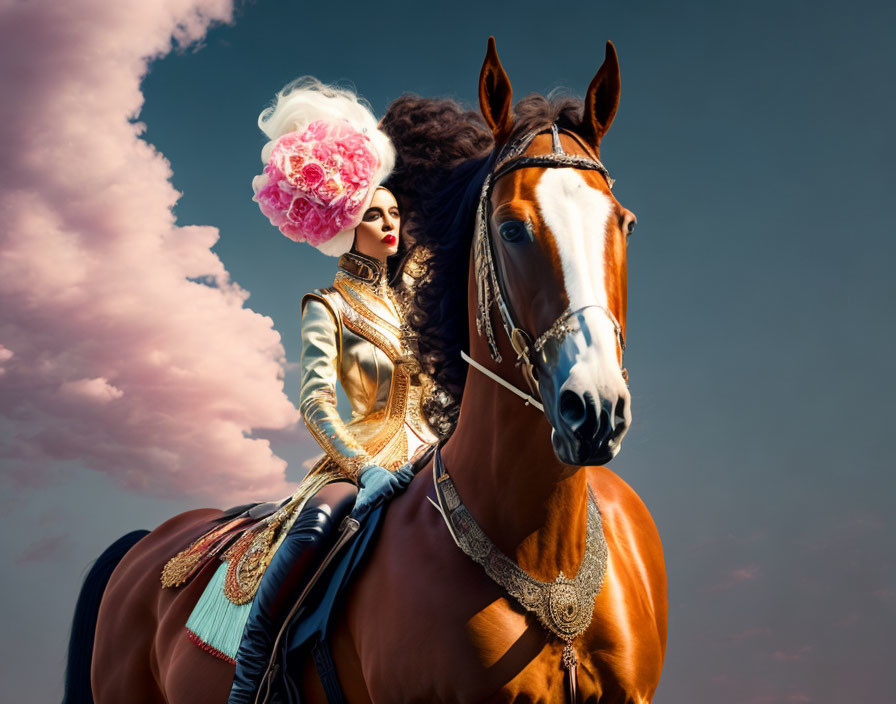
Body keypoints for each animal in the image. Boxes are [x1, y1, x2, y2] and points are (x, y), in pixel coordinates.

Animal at [72, 37, 664, 704]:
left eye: (625, 223)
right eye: (511, 228)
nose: (595, 409)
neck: (541, 549)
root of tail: (146, 543)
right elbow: (316, 397)